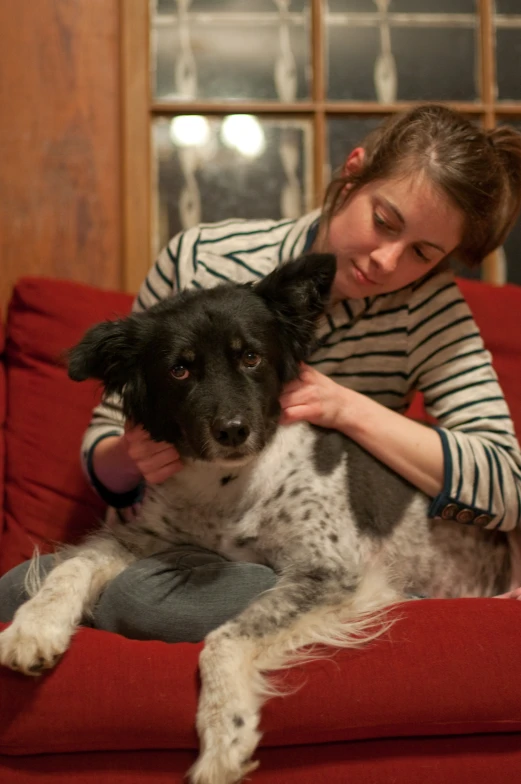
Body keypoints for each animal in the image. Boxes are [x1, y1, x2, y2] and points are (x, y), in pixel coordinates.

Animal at [0, 254, 512, 780]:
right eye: (179, 369)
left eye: (251, 358)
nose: (231, 431)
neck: (227, 488)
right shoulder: (146, 535)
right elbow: (71, 566)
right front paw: (34, 627)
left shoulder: (329, 571)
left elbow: (223, 638)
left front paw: (224, 737)